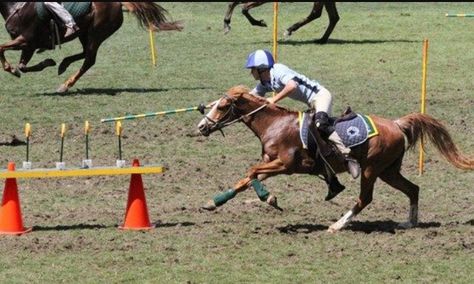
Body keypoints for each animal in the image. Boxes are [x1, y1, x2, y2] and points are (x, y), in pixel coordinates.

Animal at [0, 2, 183, 93]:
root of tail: (118, 4)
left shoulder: (26, 40)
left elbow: (1, 48)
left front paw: (12, 68)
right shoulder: (28, 45)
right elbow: (22, 66)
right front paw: (46, 62)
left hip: (97, 33)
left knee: (89, 59)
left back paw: (65, 85)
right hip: (85, 33)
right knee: (84, 54)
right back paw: (63, 64)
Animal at [195, 84, 470, 233]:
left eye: (222, 106)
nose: (201, 126)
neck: (274, 124)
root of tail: (396, 123)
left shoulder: (285, 165)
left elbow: (251, 173)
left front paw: (270, 198)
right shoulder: (270, 163)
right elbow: (246, 179)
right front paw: (213, 202)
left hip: (370, 170)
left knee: (365, 199)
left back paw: (337, 225)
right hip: (388, 171)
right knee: (413, 189)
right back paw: (409, 223)